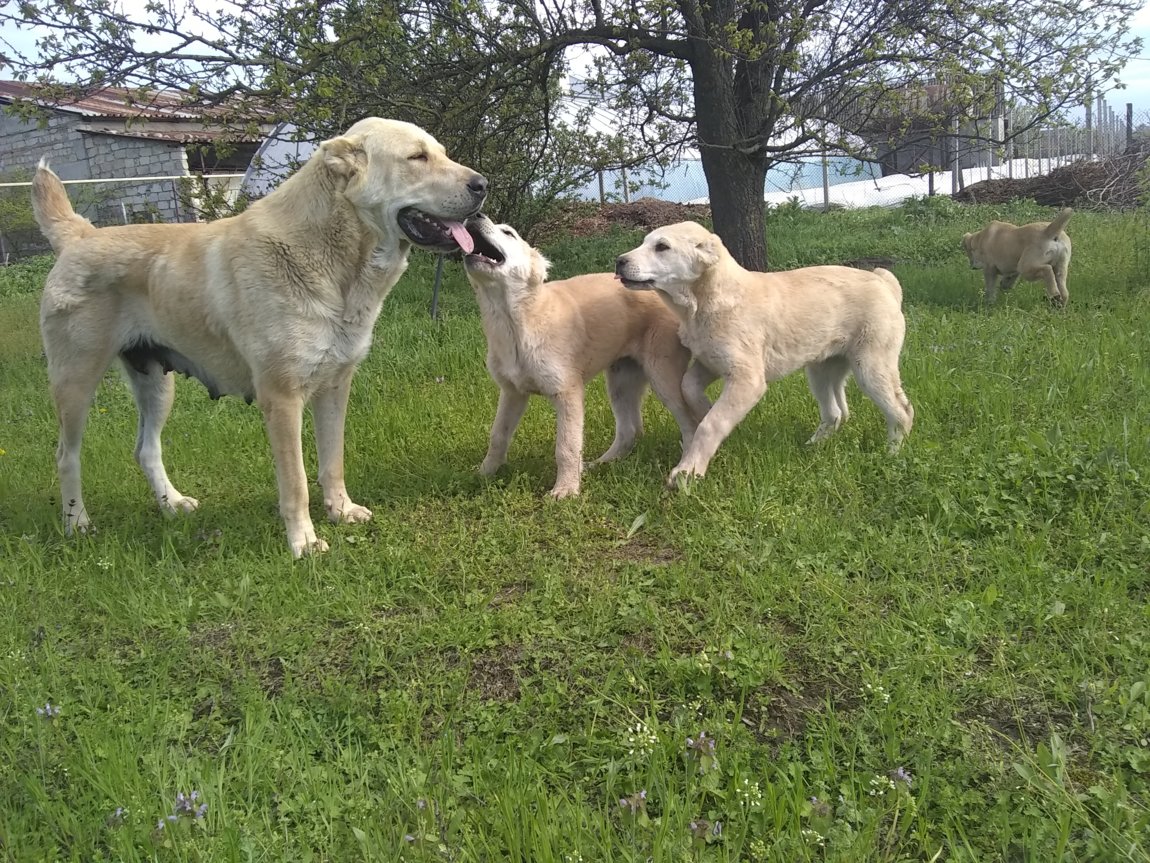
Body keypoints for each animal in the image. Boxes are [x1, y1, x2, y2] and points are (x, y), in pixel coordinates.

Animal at [457, 215, 708, 499]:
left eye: (509, 233)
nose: (474, 216)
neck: (514, 319)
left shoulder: (568, 392)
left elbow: (566, 445)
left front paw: (565, 490)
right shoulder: (512, 392)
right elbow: (498, 434)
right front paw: (484, 473)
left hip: (663, 375)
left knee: (690, 423)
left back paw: (686, 467)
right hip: (621, 381)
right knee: (630, 430)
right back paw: (601, 463)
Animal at [616, 220, 910, 487]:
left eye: (662, 247)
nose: (619, 261)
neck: (703, 304)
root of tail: (882, 280)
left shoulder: (748, 379)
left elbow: (711, 424)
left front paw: (687, 472)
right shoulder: (710, 363)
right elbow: (690, 389)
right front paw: (706, 410)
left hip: (871, 367)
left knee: (902, 411)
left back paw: (892, 455)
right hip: (822, 369)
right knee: (836, 412)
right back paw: (813, 446)